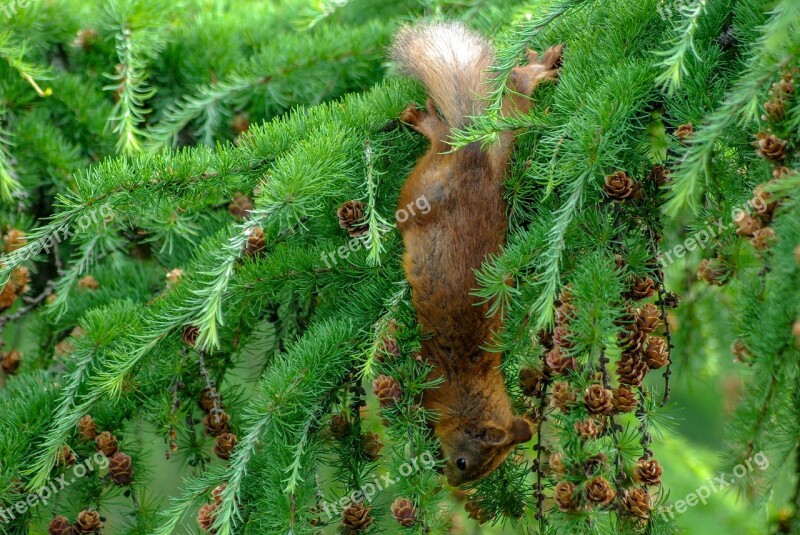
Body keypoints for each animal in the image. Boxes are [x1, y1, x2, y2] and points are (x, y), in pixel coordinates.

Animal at [390, 23, 560, 488]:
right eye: (467, 463)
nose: (452, 483)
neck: (471, 387)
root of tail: (477, 158)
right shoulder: (435, 387)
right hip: (419, 192)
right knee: (447, 139)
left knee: (514, 95)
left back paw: (535, 69)